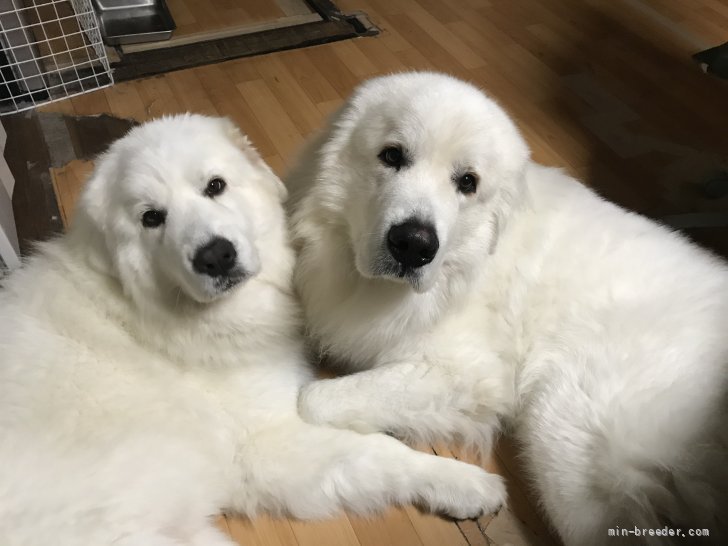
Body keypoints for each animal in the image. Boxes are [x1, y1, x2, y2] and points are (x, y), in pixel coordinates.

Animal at [0, 113, 506, 544]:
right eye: (151, 218)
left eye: (215, 186)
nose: (216, 255)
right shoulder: (268, 442)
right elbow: (380, 453)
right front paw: (468, 483)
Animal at [288, 73, 728, 544]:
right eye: (392, 155)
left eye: (467, 182)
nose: (413, 245)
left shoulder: (465, 373)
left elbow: (313, 399)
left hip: (565, 429)